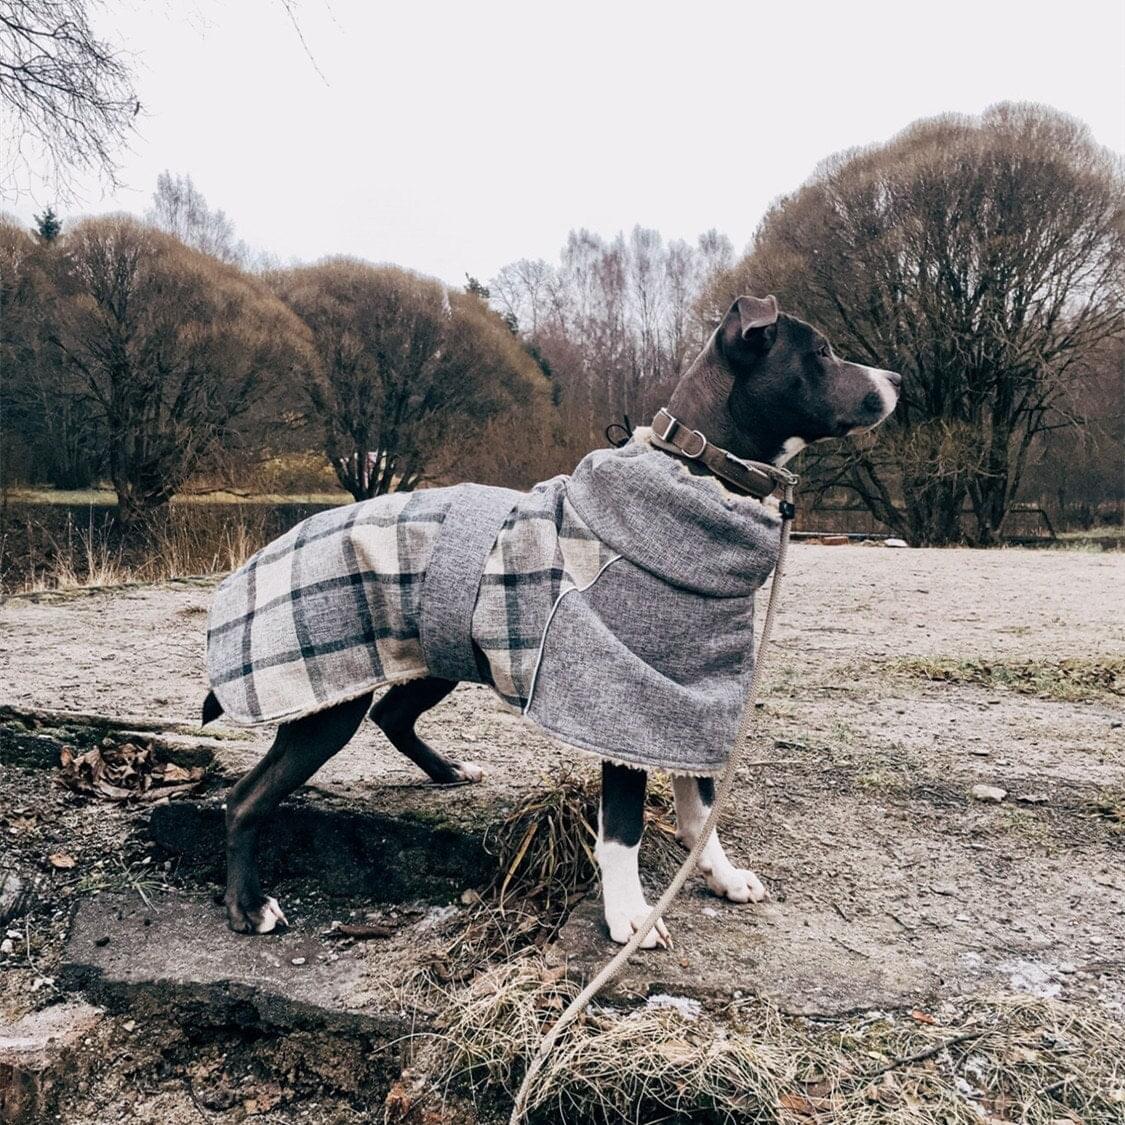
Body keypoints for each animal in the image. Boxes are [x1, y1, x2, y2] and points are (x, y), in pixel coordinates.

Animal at [202, 294, 900, 945]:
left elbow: (701, 811)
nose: (896, 377)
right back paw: (247, 906)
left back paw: (447, 773)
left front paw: (721, 877)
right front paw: (630, 918)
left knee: (392, 715)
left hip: (439, 652)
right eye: (824, 352)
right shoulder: (627, 708)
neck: (698, 479)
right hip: (326, 703)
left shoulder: (688, 700)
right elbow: (624, 831)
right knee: (243, 800)